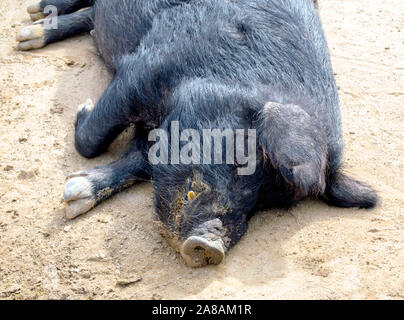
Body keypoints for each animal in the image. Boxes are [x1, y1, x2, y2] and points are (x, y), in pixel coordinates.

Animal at [17, 0, 378, 268]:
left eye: (268, 202)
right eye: (243, 159)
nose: (211, 245)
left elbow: (138, 161)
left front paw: (75, 195)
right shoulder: (143, 72)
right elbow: (90, 140)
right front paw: (83, 107)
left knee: (91, 17)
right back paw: (29, 25)